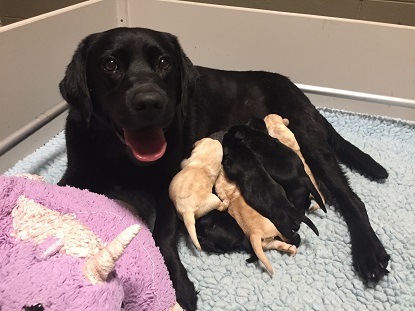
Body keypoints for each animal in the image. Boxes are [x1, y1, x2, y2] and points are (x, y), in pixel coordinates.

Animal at [58, 27, 390, 311]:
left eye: (164, 62)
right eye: (110, 64)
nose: (150, 102)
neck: (123, 157)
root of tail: (293, 86)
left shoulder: (167, 186)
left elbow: (162, 234)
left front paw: (178, 285)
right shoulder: (75, 173)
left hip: (308, 138)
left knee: (351, 198)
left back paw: (369, 252)